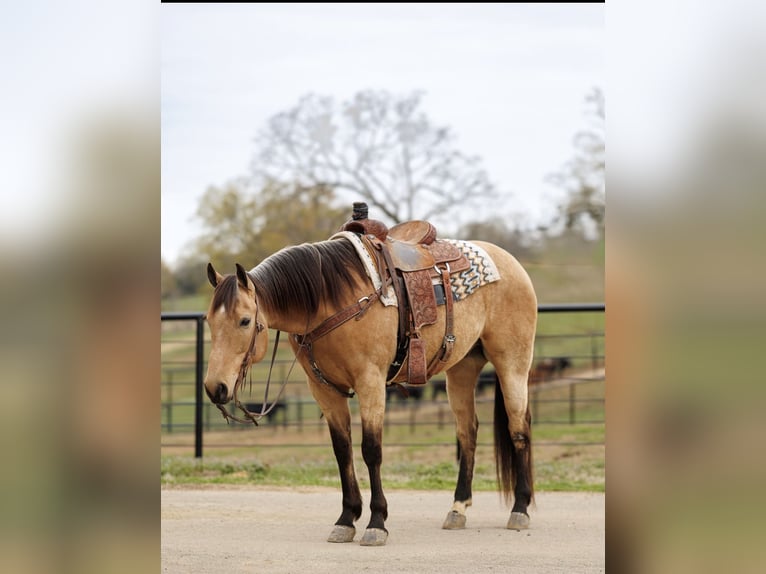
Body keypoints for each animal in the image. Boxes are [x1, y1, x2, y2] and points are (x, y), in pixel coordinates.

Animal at [203, 233, 537, 546]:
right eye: (209, 321)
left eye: (245, 321)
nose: (214, 387)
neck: (331, 301)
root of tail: (511, 263)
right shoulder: (325, 391)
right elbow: (342, 450)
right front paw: (346, 519)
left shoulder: (371, 382)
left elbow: (371, 450)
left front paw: (377, 523)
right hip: (462, 369)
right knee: (468, 432)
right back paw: (458, 508)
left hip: (512, 362)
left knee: (518, 427)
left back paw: (520, 509)